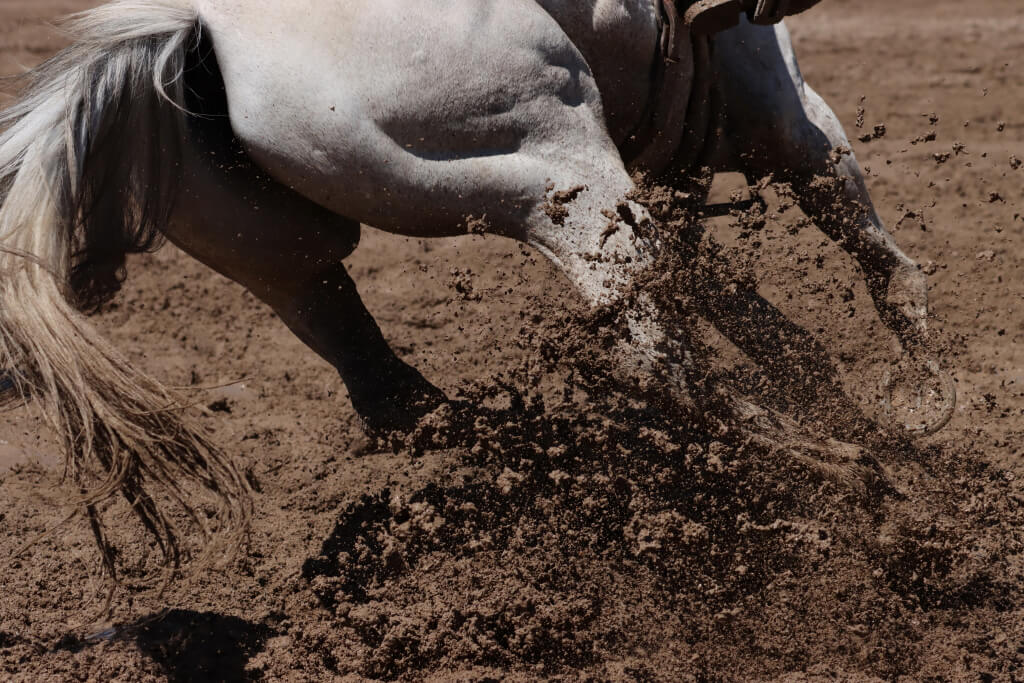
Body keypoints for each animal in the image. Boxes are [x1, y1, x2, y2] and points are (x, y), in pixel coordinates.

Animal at [0, 0, 950, 576]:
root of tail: (199, 24)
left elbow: (757, 313)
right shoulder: (784, 112)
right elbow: (883, 266)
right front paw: (926, 403)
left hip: (291, 263)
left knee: (392, 393)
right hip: (556, 166)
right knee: (659, 364)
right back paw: (854, 481)